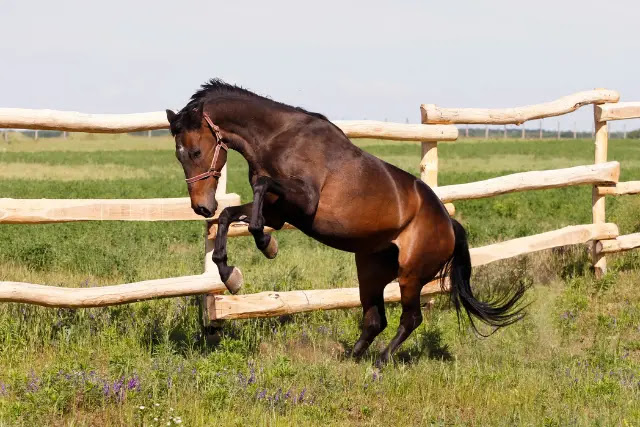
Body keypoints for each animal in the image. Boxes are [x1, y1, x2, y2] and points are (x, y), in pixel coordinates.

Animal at [168, 79, 528, 364]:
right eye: (178, 154)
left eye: (196, 151)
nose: (201, 207)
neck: (279, 139)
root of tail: (450, 226)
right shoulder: (279, 212)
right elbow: (230, 215)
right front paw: (231, 275)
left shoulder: (303, 201)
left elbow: (259, 192)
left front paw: (266, 245)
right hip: (369, 271)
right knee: (375, 320)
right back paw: (351, 358)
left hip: (410, 276)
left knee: (410, 319)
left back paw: (381, 361)